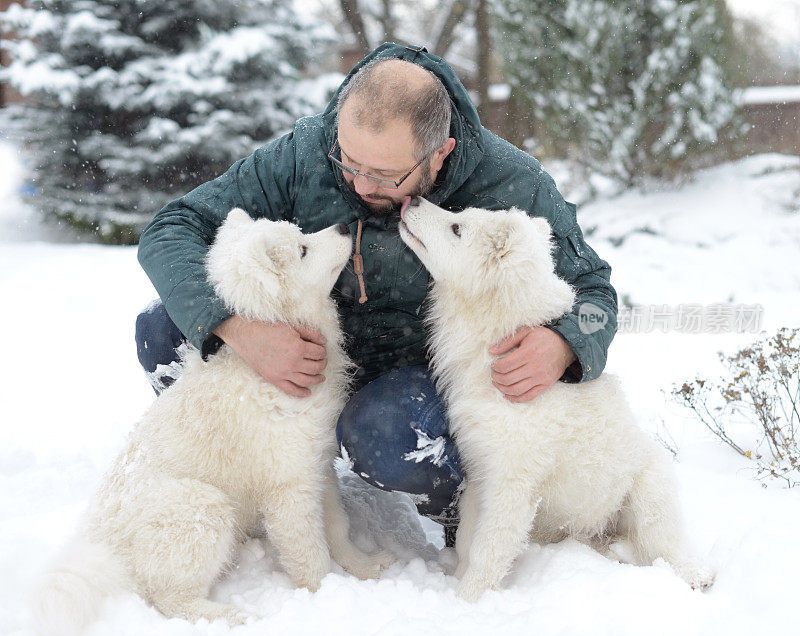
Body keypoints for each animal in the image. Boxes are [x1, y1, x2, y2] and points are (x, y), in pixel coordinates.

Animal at [32, 207, 392, 632]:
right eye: (303, 248)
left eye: (301, 232)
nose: (343, 225)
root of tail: (104, 550)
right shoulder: (287, 486)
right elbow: (309, 553)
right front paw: (323, 602)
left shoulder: (316, 465)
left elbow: (336, 527)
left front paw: (364, 568)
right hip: (204, 507)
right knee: (172, 598)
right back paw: (232, 616)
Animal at [396, 198, 716, 600]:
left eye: (457, 228)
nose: (412, 200)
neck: (498, 335)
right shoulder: (481, 467)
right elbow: (470, 536)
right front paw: (456, 581)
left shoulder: (515, 476)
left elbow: (490, 544)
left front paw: (468, 599)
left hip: (647, 489)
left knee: (663, 540)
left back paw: (695, 574)